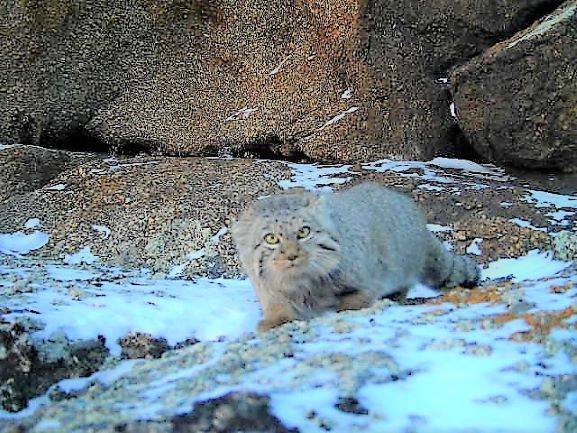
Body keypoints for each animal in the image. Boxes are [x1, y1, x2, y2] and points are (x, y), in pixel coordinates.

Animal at [232, 182, 480, 330]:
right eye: (271, 238)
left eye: (304, 232)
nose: (292, 255)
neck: (302, 284)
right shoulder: (269, 291)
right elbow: (278, 310)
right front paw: (273, 322)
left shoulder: (367, 281)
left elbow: (353, 300)